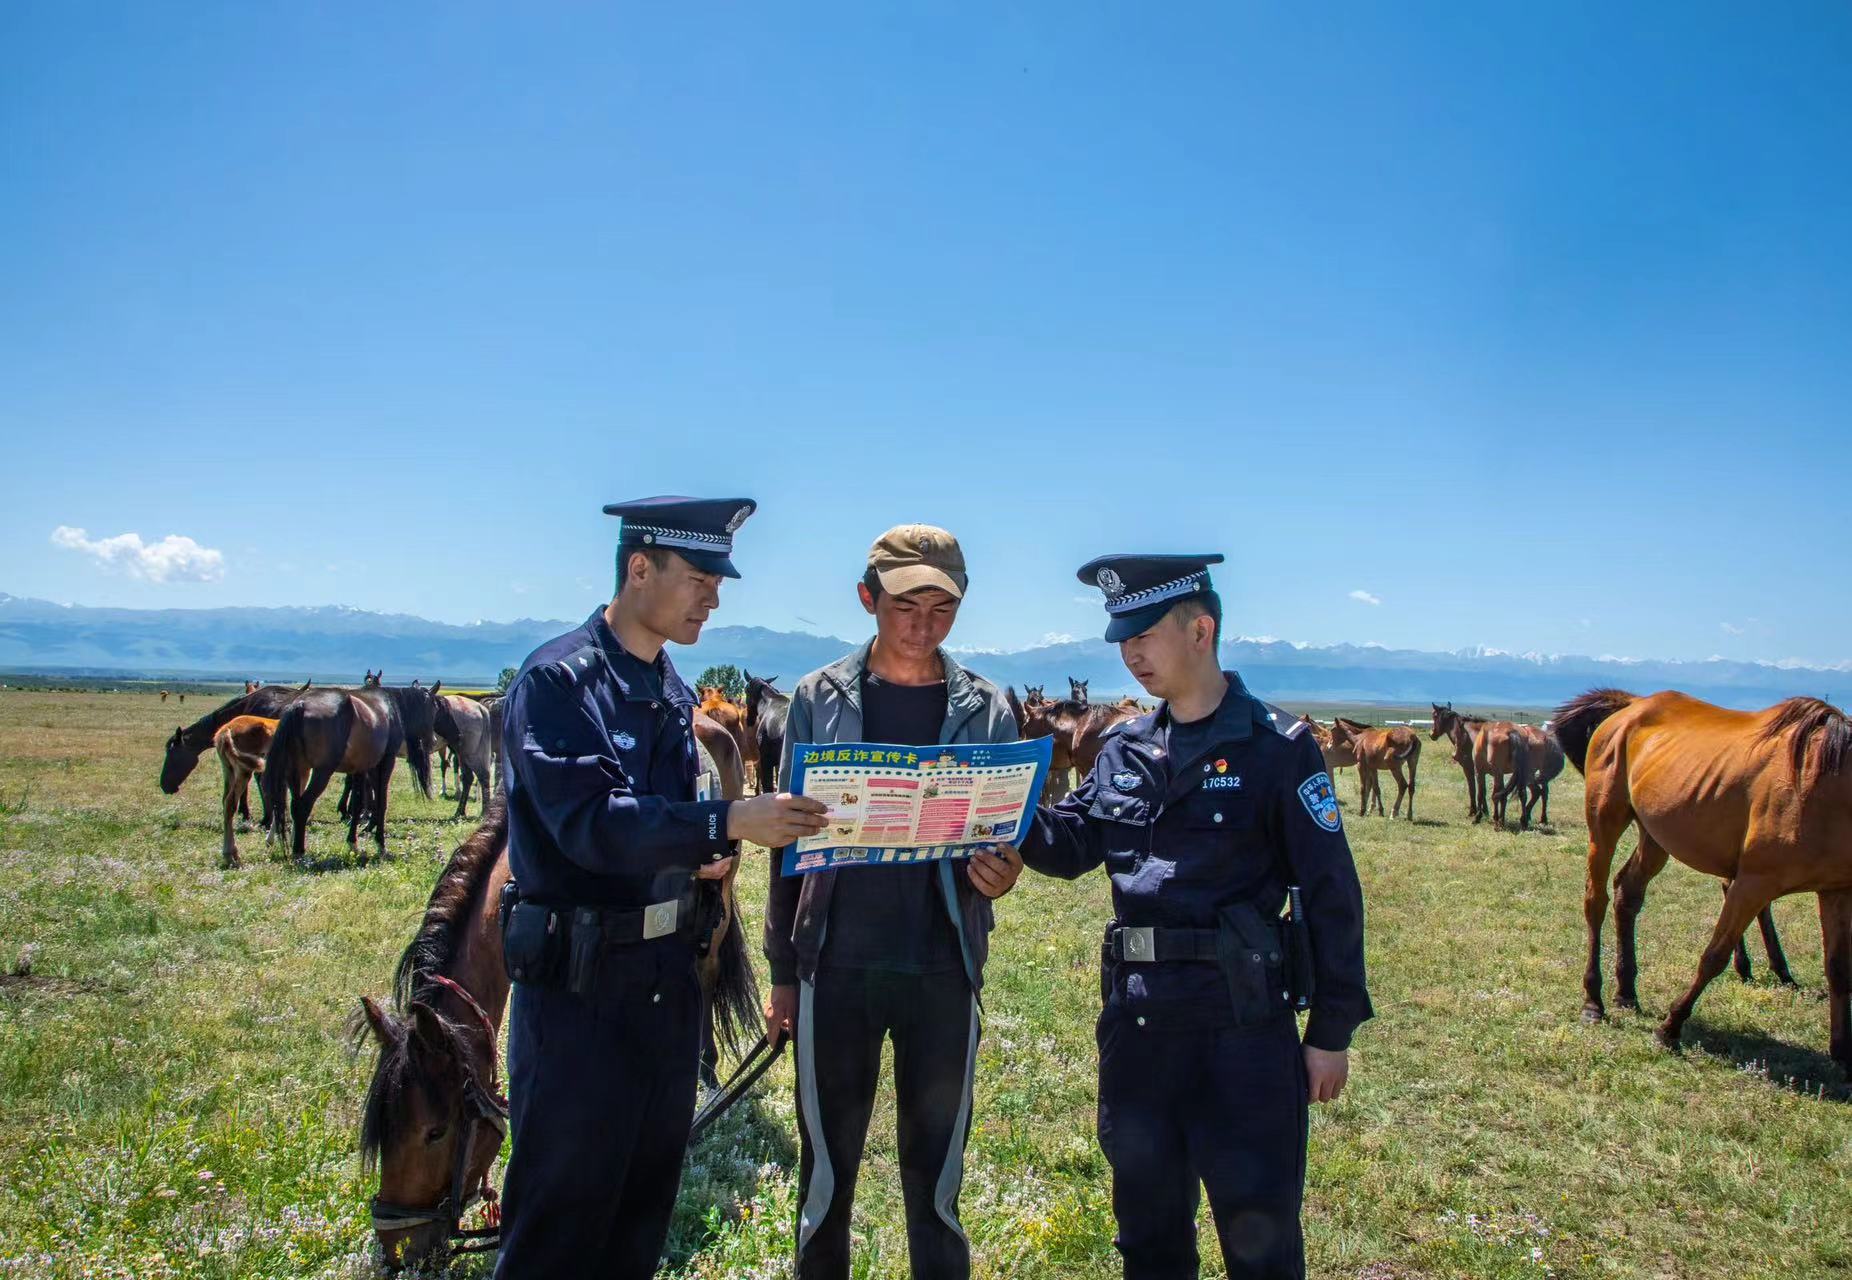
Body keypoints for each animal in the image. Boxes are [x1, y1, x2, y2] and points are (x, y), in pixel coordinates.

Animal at [212, 715, 277, 866]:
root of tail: (226, 729)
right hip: (244, 770)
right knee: (230, 804)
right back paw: (230, 855)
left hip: (228, 771)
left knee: (225, 802)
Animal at [1555, 696, 1844, 1066]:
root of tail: (1634, 704)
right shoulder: (1753, 883)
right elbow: (1714, 956)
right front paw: (1670, 1028)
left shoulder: (1836, 890)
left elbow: (1838, 968)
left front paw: (1841, 1052)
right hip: (1605, 823)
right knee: (1596, 901)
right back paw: (1593, 1000)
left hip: (1655, 836)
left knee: (1627, 894)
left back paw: (1627, 992)